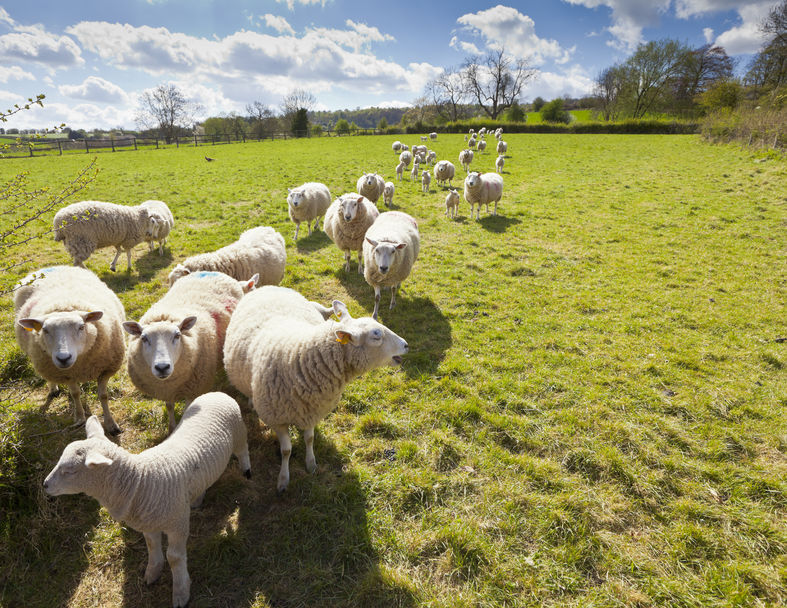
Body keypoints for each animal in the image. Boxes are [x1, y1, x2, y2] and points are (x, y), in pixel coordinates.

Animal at [14, 268, 126, 436]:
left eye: (81, 326)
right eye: (45, 330)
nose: (63, 358)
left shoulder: (106, 369)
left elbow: (103, 395)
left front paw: (111, 424)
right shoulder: (67, 374)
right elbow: (75, 394)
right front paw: (79, 418)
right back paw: (53, 389)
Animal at [43, 394, 252, 608]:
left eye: (70, 471)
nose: (45, 485)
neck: (141, 481)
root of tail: (216, 393)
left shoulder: (177, 523)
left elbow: (174, 558)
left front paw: (181, 592)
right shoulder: (149, 522)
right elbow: (152, 546)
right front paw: (153, 572)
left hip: (239, 431)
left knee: (243, 450)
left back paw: (246, 472)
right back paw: (197, 498)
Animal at [124, 270, 258, 432]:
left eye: (177, 335)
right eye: (144, 338)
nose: (162, 367)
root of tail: (210, 272)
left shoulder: (194, 388)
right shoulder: (166, 390)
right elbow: (169, 406)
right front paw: (172, 428)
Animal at [222, 288, 406, 492]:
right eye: (376, 335)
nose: (406, 345)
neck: (297, 359)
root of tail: (268, 287)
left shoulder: (311, 409)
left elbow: (309, 439)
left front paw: (311, 464)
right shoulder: (277, 419)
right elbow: (286, 450)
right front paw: (283, 479)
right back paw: (250, 401)